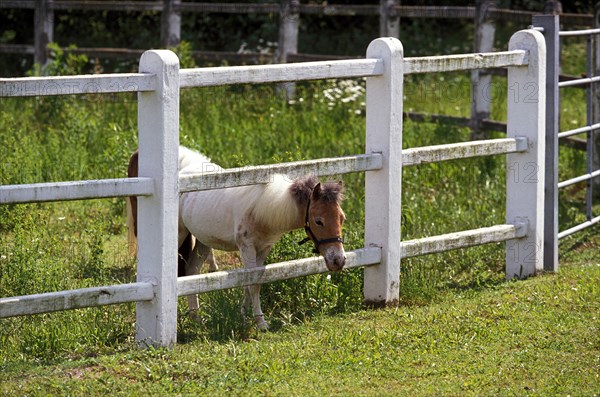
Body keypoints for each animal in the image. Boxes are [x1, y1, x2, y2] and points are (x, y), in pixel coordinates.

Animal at [129, 145, 350, 328]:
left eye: (342, 218)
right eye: (319, 221)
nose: (338, 260)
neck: (262, 210)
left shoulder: (263, 249)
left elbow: (248, 283)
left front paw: (245, 316)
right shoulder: (247, 248)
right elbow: (253, 284)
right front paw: (261, 323)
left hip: (203, 241)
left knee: (192, 272)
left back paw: (196, 317)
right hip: (180, 235)